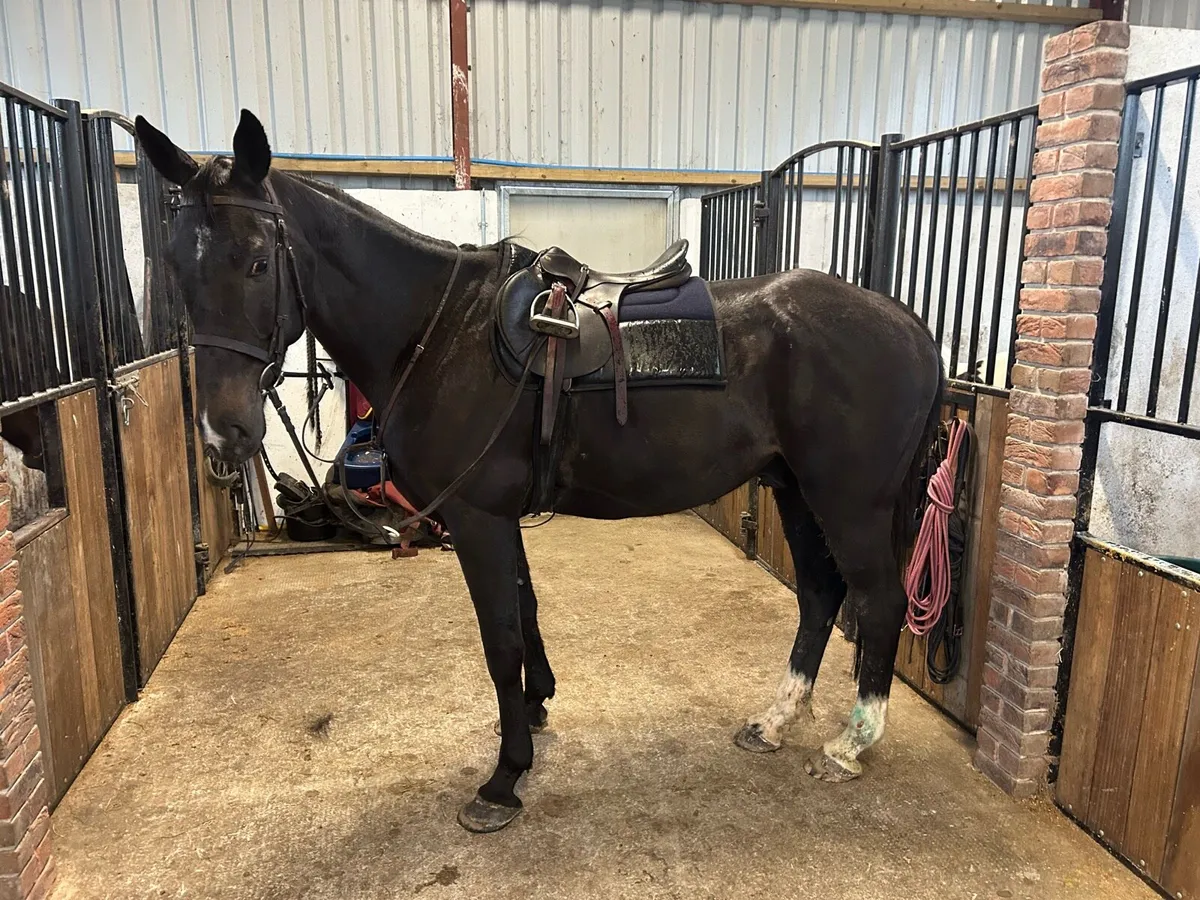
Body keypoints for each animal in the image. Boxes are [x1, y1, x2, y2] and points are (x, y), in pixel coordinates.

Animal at [133, 109, 944, 834]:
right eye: (174, 265)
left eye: (257, 261)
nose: (225, 431)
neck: (439, 330)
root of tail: (905, 323)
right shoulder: (498, 518)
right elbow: (525, 614)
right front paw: (536, 706)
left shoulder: (477, 518)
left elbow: (501, 640)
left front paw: (503, 778)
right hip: (796, 492)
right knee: (819, 595)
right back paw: (775, 721)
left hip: (850, 502)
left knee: (877, 601)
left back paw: (849, 743)